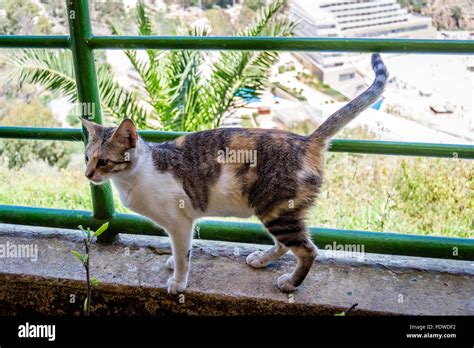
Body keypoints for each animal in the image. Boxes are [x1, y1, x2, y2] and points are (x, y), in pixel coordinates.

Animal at [80, 53, 386, 294]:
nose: (87, 174)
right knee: (285, 245)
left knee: (307, 250)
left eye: (104, 161)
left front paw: (178, 282)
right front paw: (173, 262)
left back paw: (290, 283)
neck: (134, 177)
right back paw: (261, 260)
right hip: (278, 210)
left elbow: (183, 255)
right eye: (86, 158)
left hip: (276, 209)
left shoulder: (179, 222)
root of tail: (306, 140)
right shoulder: (183, 224)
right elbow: (181, 250)